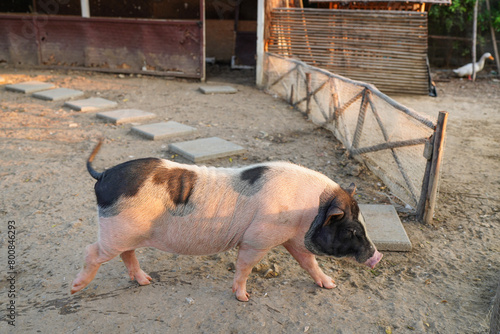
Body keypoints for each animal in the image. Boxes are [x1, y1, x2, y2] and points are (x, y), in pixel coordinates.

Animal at [71, 140, 382, 302]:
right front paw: (244, 298)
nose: (377, 256)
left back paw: (145, 282)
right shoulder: (258, 238)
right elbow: (245, 266)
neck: (309, 210)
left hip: (127, 232)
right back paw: (76, 288)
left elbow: (309, 262)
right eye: (351, 229)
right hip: (115, 229)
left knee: (127, 254)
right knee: (91, 251)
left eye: (363, 223)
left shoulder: (292, 238)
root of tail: (103, 174)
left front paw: (331, 285)